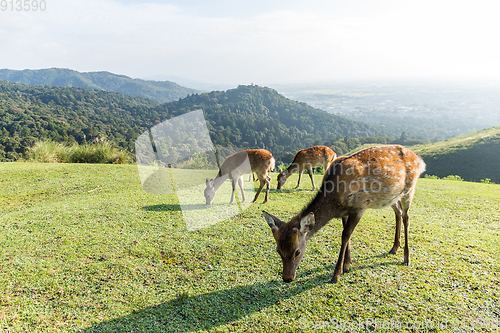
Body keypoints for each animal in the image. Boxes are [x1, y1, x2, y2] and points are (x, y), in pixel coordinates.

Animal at [262, 144, 426, 282]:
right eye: (278, 250)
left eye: (297, 251)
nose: (287, 278)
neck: (335, 201)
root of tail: (420, 161)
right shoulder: (345, 212)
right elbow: (347, 235)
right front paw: (347, 265)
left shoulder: (359, 206)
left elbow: (345, 235)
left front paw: (336, 274)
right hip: (391, 197)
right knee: (398, 212)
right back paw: (394, 248)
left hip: (409, 189)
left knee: (406, 217)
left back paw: (406, 257)